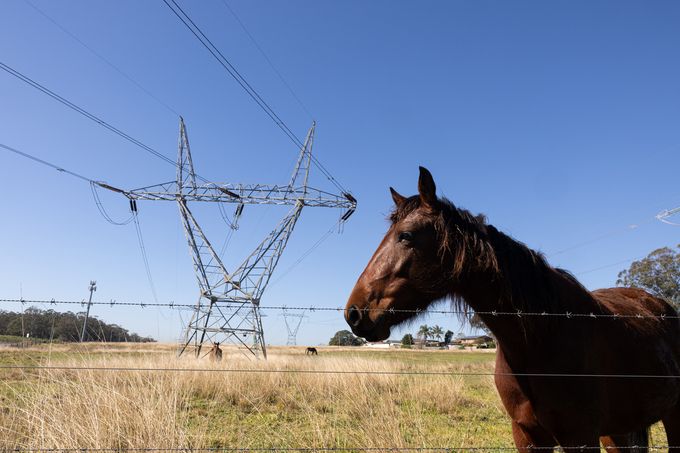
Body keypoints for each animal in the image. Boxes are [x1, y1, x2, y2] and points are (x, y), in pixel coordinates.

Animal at [344, 166, 680, 452]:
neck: (541, 338)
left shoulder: (580, 436)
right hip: (619, 431)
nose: (354, 313)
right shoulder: (527, 436)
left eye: (406, 236)